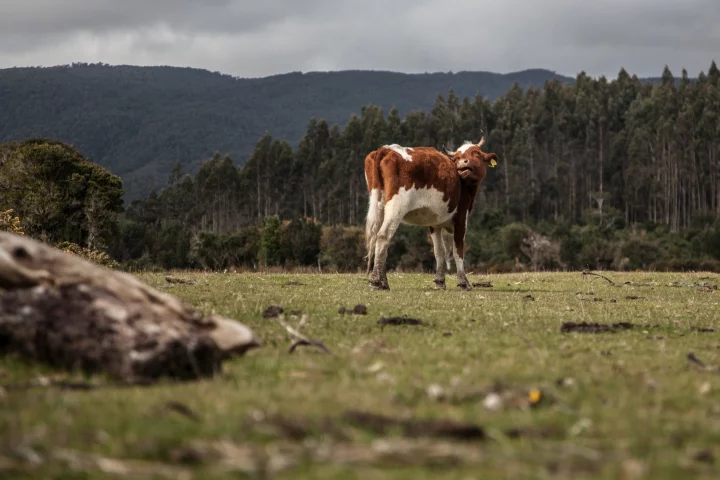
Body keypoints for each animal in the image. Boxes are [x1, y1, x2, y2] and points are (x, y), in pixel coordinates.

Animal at [363, 138, 498, 290]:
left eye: (476, 153)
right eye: (458, 157)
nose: (464, 162)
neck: (463, 183)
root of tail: (386, 149)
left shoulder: (435, 223)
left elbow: (439, 251)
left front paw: (440, 281)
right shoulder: (461, 218)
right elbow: (458, 250)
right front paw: (464, 282)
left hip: (378, 205)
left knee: (379, 240)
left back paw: (384, 282)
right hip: (396, 206)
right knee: (383, 236)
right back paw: (376, 281)